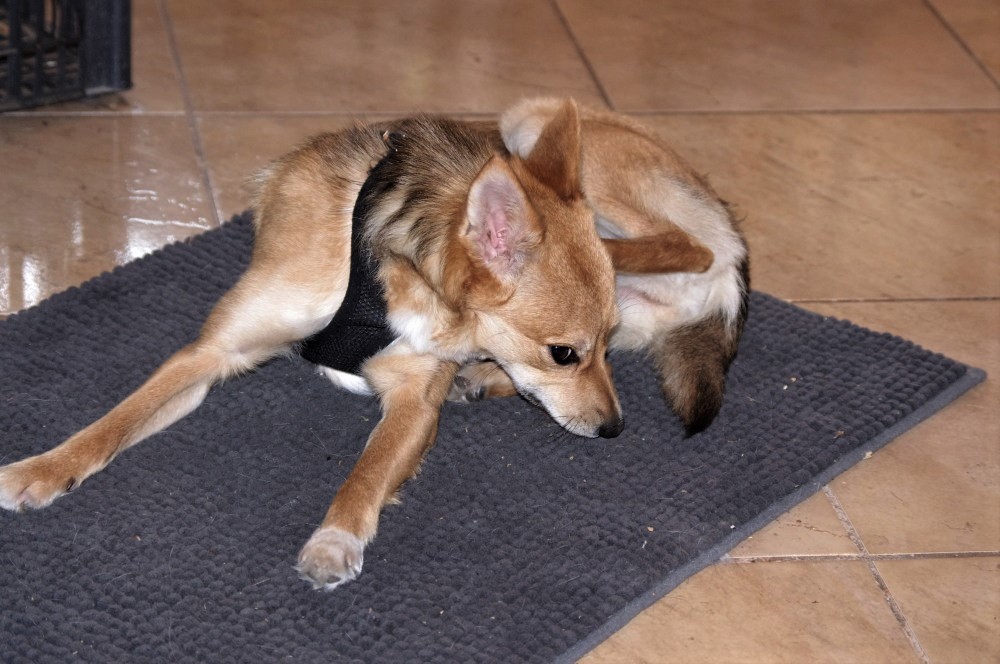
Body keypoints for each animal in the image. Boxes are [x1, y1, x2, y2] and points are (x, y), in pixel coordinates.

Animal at [0, 99, 748, 590]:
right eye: (564, 353)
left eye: (596, 346)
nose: (615, 428)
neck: (384, 265)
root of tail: (734, 247)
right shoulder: (211, 355)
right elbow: (115, 422)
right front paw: (43, 468)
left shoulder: (416, 399)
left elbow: (367, 470)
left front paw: (335, 538)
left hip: (534, 125)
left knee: (688, 243)